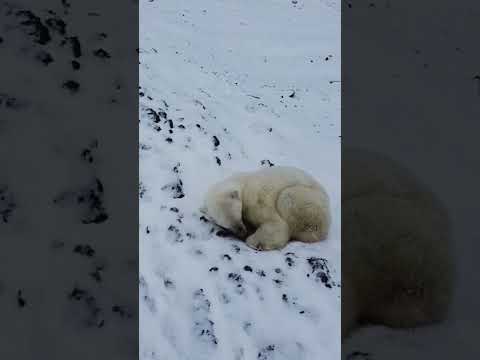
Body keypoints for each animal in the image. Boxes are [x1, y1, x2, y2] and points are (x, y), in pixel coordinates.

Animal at [202, 166, 330, 250]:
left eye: (237, 216)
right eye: (225, 225)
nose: (241, 232)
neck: (241, 183)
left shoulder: (255, 199)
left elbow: (276, 224)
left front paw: (254, 241)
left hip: (306, 200)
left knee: (288, 197)